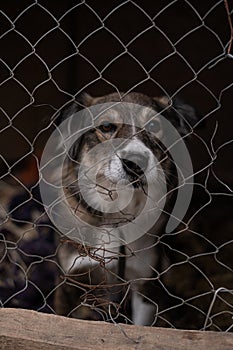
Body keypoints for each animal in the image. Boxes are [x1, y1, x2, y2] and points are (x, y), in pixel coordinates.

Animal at [51, 92, 200, 326]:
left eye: (154, 125)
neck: (115, 214)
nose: (136, 162)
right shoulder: (70, 276)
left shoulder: (144, 283)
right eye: (106, 126)